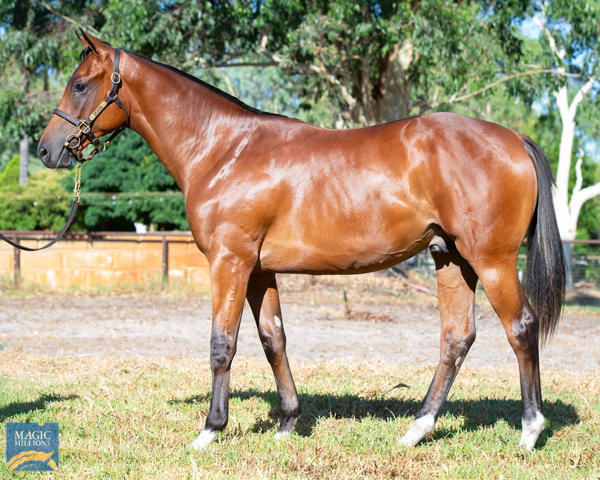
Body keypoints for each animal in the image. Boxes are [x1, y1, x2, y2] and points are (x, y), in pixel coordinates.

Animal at [36, 32, 564, 450]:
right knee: (457, 338)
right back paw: (416, 430)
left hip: (490, 260)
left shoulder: (229, 262)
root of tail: (514, 139)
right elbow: (274, 340)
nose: (46, 149)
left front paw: (210, 430)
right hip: (450, 258)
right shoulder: (259, 270)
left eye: (80, 84)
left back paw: (530, 430)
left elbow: (222, 343)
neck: (224, 149)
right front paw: (288, 422)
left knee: (521, 328)